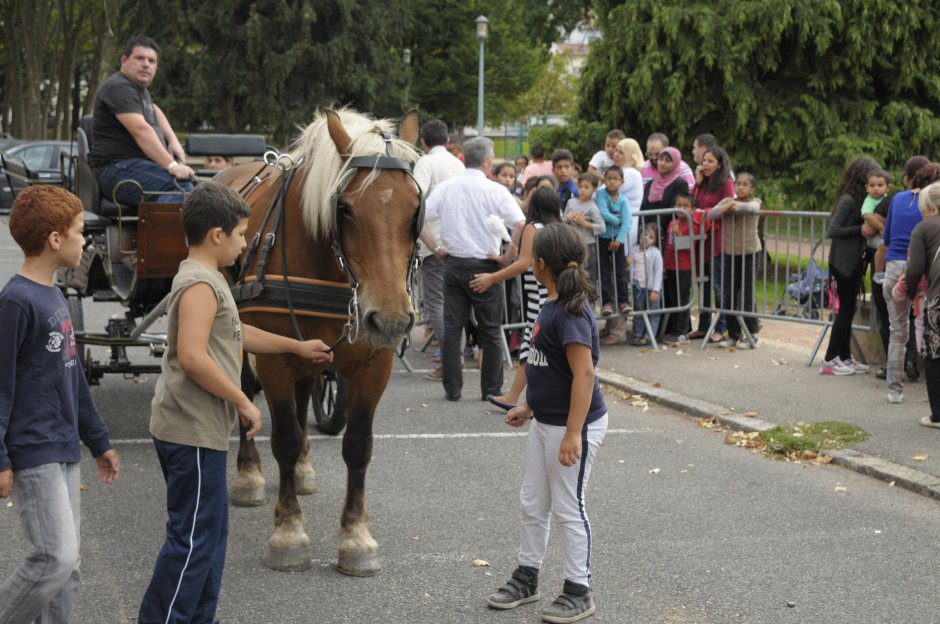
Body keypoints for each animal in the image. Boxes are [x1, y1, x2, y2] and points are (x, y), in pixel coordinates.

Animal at [215, 108, 420, 576]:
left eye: (416, 210)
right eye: (344, 208)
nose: (392, 319)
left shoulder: (373, 365)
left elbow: (358, 446)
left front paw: (356, 538)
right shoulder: (274, 359)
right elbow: (284, 439)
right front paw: (289, 533)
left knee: (306, 391)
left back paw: (305, 470)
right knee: (245, 394)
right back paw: (249, 475)